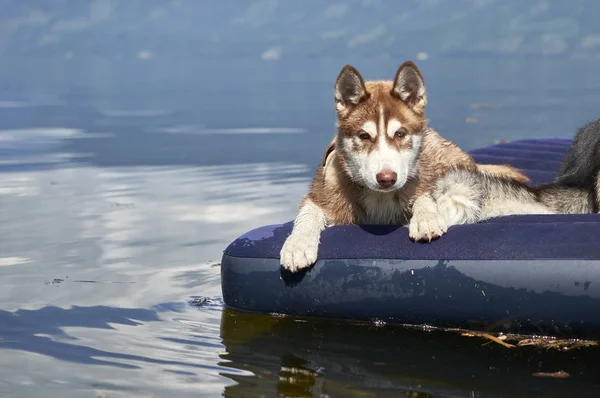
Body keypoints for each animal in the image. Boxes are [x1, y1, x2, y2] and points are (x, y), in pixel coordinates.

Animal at [278, 62, 528, 272]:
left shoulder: (421, 181)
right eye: (364, 136)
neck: (379, 197)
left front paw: (426, 218)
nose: (387, 178)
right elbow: (308, 214)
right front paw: (297, 244)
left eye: (400, 134)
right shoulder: (321, 194)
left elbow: (424, 196)